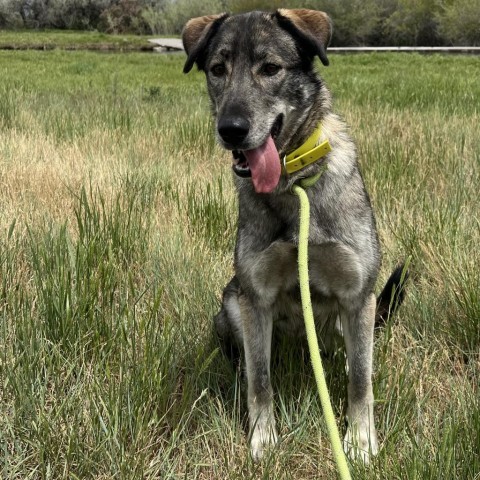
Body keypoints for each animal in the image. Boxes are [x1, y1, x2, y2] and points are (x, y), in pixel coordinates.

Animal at [182, 9, 406, 464]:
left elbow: (361, 380)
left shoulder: (358, 295)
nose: (231, 129)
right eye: (217, 69)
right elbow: (260, 380)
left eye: (270, 69)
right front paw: (262, 438)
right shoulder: (255, 298)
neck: (294, 184)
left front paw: (360, 441)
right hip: (231, 301)